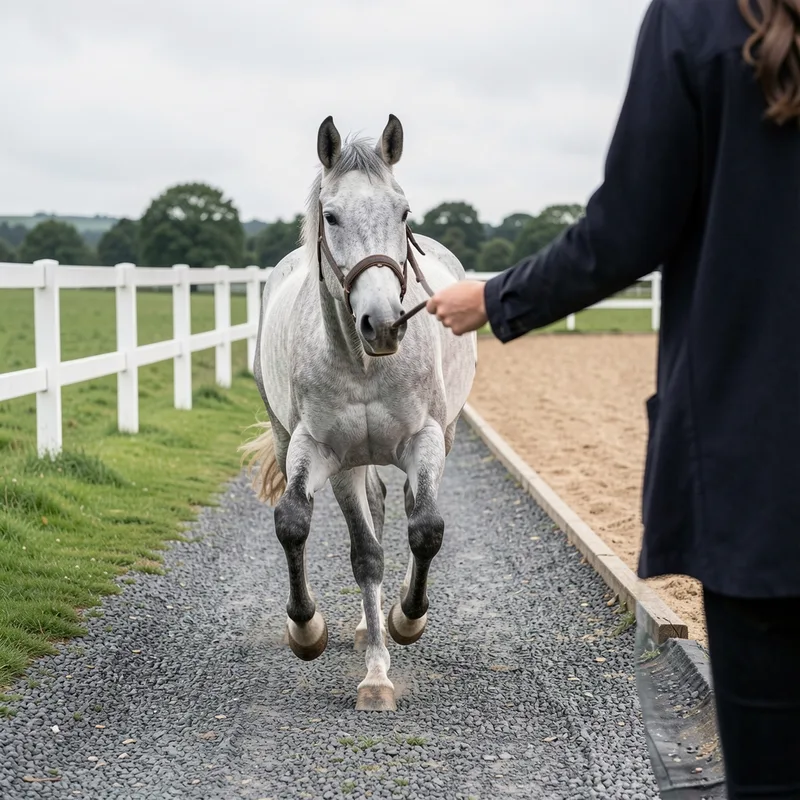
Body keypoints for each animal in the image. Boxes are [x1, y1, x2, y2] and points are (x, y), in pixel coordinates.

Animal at [241, 114, 477, 712]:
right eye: (331, 215)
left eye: (404, 212)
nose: (384, 322)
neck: (364, 362)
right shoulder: (329, 453)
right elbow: (314, 532)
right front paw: (314, 634)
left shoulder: (426, 440)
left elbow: (426, 529)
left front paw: (406, 620)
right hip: (293, 437)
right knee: (371, 513)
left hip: (444, 434)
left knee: (409, 510)